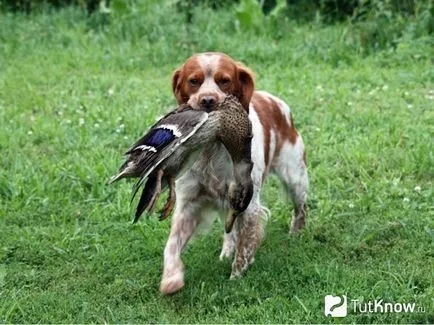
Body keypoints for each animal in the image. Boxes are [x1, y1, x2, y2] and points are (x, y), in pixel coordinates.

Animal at [160, 52, 308, 294]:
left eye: (225, 80)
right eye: (194, 81)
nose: (208, 100)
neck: (213, 148)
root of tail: (275, 101)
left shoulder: (248, 202)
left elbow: (245, 246)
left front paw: (236, 280)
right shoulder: (189, 201)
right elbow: (172, 244)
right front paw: (171, 279)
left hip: (295, 177)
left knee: (300, 209)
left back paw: (296, 236)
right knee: (230, 231)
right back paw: (225, 252)